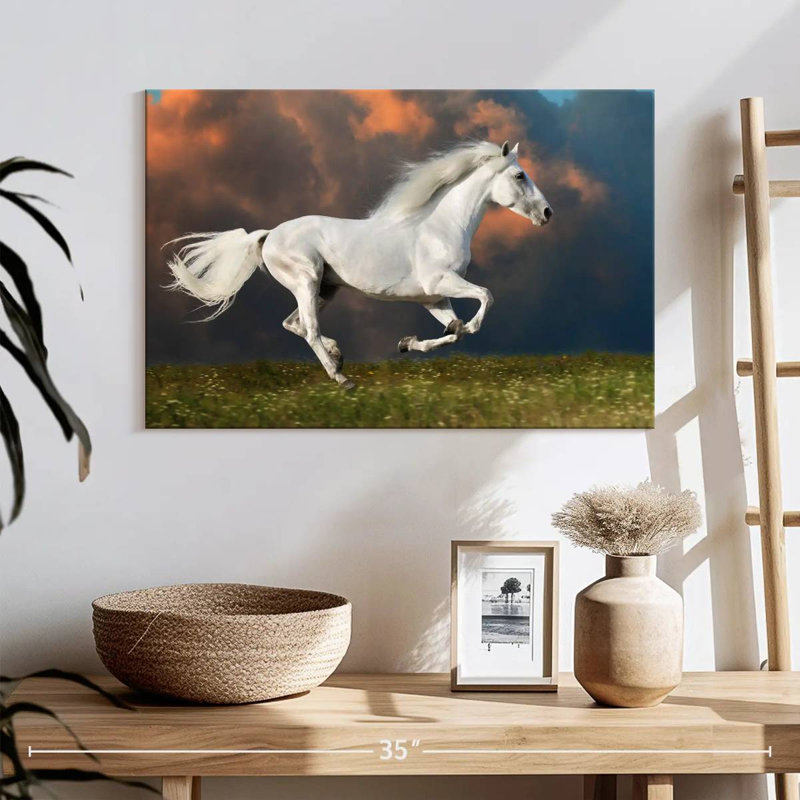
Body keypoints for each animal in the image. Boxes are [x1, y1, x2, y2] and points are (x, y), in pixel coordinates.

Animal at [164, 139, 552, 389]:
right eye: (520, 176)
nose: (548, 213)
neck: (441, 226)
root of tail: (269, 234)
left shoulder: (432, 297)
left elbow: (453, 330)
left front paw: (408, 343)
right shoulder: (441, 282)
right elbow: (484, 299)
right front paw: (458, 328)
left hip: (325, 289)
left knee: (295, 324)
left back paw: (337, 355)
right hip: (306, 281)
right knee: (309, 328)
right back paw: (341, 378)